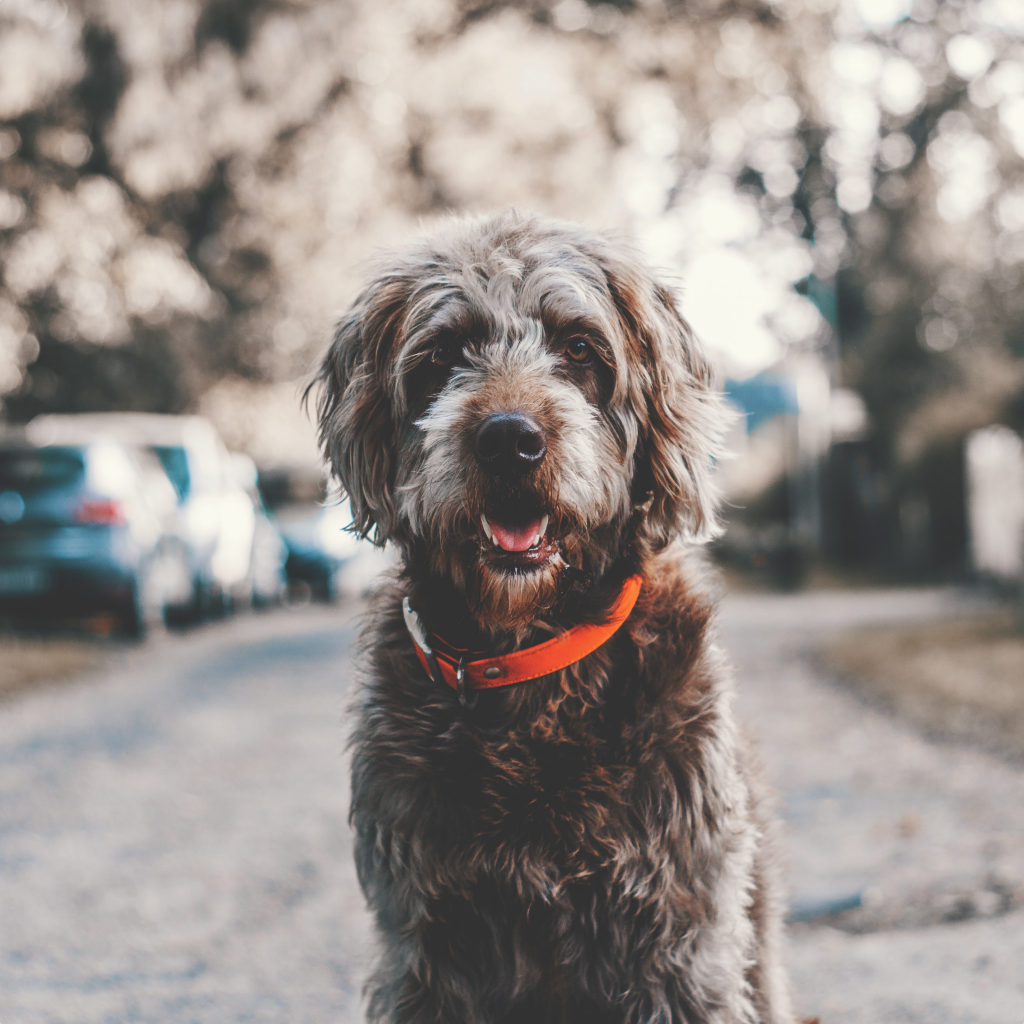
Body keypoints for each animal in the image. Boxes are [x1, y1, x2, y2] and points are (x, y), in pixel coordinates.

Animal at [311, 209, 790, 1024]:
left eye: (578, 348)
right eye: (443, 354)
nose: (510, 439)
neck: (533, 666)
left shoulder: (681, 940)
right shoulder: (422, 950)